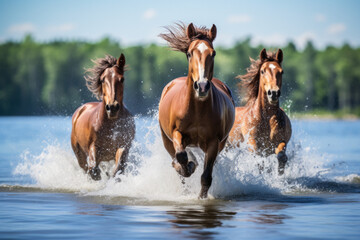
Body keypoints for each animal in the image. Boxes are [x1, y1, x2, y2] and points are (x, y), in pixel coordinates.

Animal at [159, 23, 235, 199]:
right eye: (189, 53)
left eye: (213, 53)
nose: (202, 86)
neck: (198, 110)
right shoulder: (177, 133)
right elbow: (181, 156)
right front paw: (189, 166)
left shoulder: (214, 142)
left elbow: (206, 176)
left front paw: (202, 198)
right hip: (166, 140)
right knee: (177, 160)